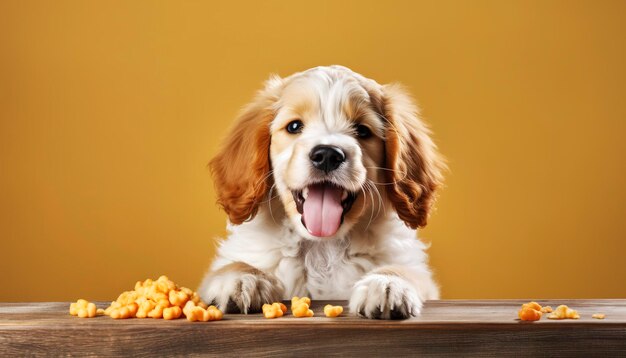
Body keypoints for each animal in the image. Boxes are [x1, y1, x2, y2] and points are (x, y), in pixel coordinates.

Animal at [197, 64, 442, 318]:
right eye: (294, 126)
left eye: (363, 131)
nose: (327, 155)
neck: (322, 247)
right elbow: (234, 264)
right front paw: (242, 279)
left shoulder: (415, 271)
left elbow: (406, 271)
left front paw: (387, 283)